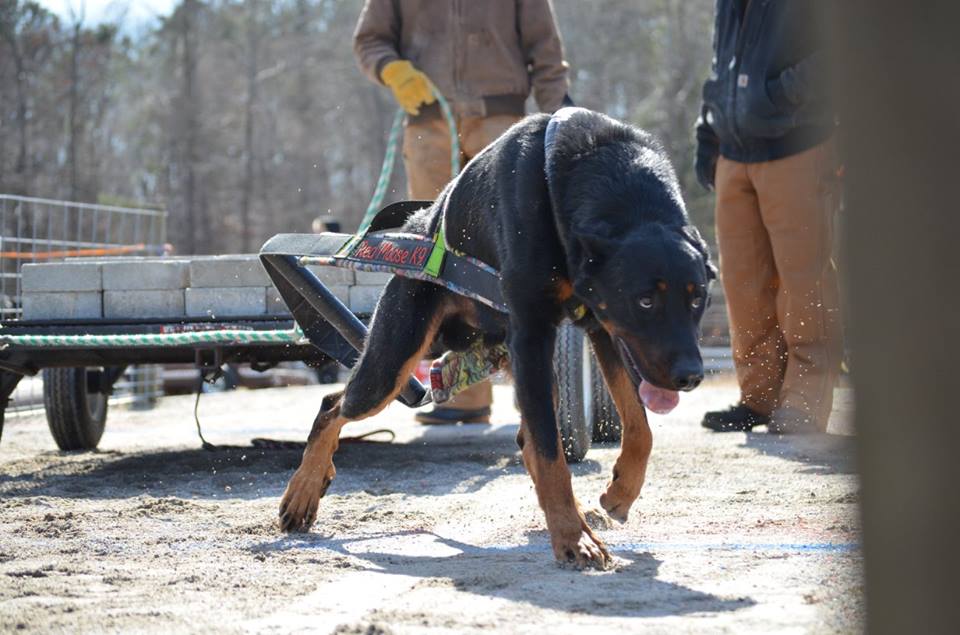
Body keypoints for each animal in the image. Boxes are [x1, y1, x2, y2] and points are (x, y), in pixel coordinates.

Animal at [278, 107, 712, 568]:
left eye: (698, 298)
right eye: (644, 300)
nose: (691, 375)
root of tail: (414, 226)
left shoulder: (605, 330)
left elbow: (638, 427)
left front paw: (619, 493)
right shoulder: (535, 331)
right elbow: (551, 453)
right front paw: (573, 537)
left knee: (526, 435)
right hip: (398, 356)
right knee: (335, 405)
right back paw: (303, 491)